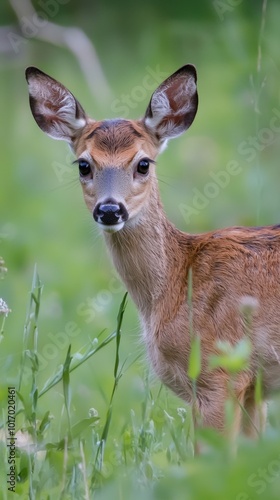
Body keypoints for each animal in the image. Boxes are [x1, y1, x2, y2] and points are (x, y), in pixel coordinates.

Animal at [25, 63, 280, 438]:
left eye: (143, 163)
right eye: (84, 165)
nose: (110, 210)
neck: (175, 282)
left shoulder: (221, 372)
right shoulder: (253, 389)